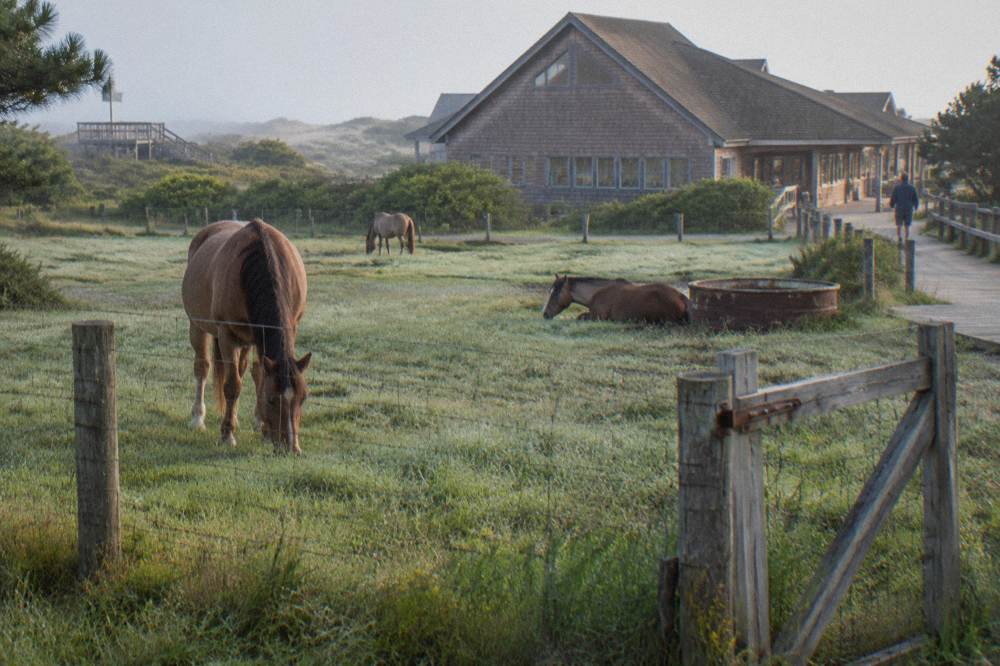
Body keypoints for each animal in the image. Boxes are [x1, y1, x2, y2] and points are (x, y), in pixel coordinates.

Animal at [182, 219, 312, 454]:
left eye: (303, 398)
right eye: (271, 400)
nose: (291, 448)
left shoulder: (282, 329)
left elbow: (257, 377)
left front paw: (264, 431)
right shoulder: (227, 334)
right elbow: (232, 385)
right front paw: (227, 435)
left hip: (248, 340)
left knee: (250, 370)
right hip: (198, 327)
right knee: (203, 368)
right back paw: (198, 418)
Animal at [542, 274, 690, 325]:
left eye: (556, 294)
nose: (545, 314)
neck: (597, 293)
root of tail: (681, 297)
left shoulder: (596, 317)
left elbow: (579, 317)